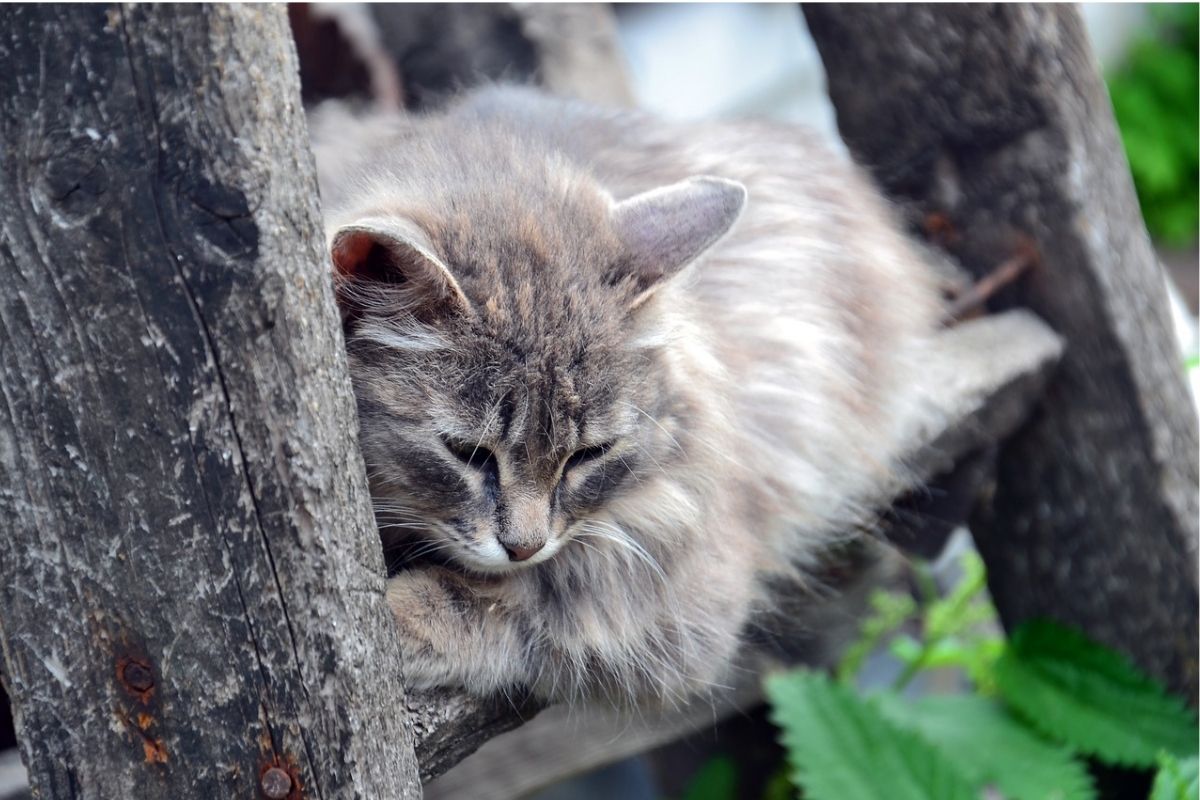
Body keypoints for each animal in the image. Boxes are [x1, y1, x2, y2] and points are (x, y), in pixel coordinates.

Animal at [307, 86, 936, 705]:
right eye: (467, 453)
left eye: (589, 455)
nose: (523, 546)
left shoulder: (675, 581)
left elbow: (522, 601)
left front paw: (398, 617)